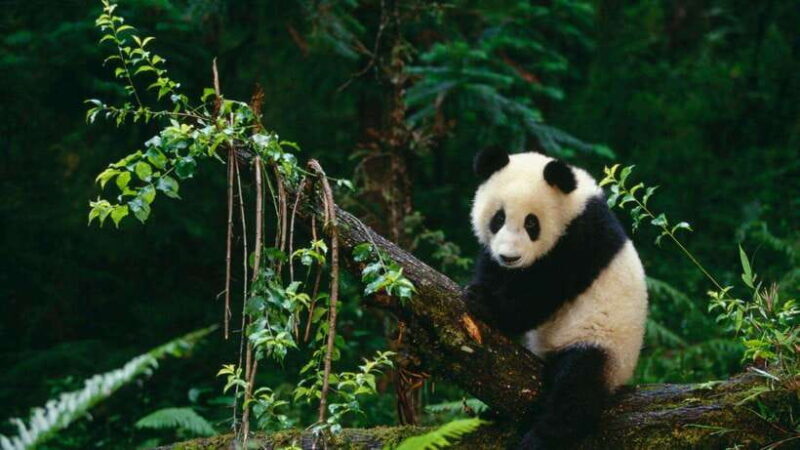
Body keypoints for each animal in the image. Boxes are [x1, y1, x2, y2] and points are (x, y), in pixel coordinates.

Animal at [465, 147, 648, 449]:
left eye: (531, 223)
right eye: (498, 219)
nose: (510, 257)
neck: (574, 204)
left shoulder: (578, 241)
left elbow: (539, 295)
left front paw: (483, 302)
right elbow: (493, 270)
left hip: (603, 342)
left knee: (576, 388)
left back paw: (541, 437)